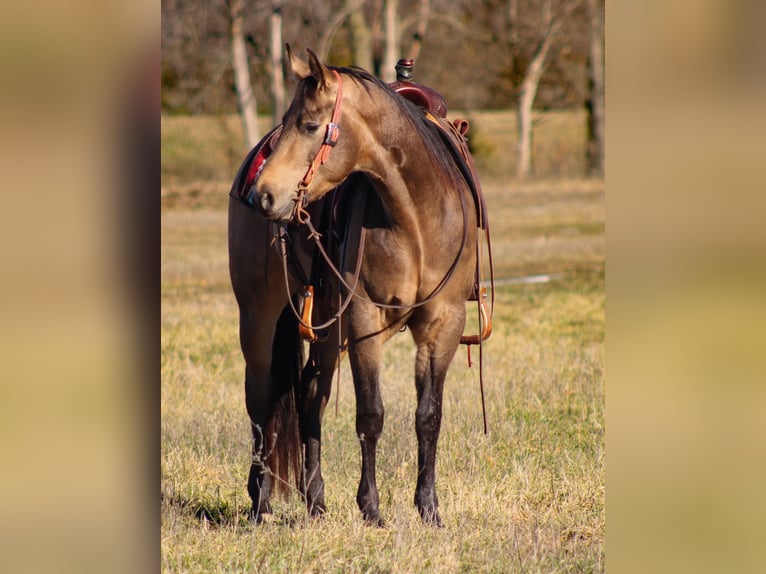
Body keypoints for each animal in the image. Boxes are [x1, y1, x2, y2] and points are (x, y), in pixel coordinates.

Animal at [228, 47, 492, 528]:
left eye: (309, 125)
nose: (263, 196)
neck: (416, 216)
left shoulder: (443, 323)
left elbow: (429, 416)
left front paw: (429, 508)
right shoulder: (366, 319)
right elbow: (371, 414)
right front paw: (370, 507)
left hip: (327, 327)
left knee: (310, 397)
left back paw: (315, 501)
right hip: (258, 315)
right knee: (260, 397)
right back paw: (260, 502)